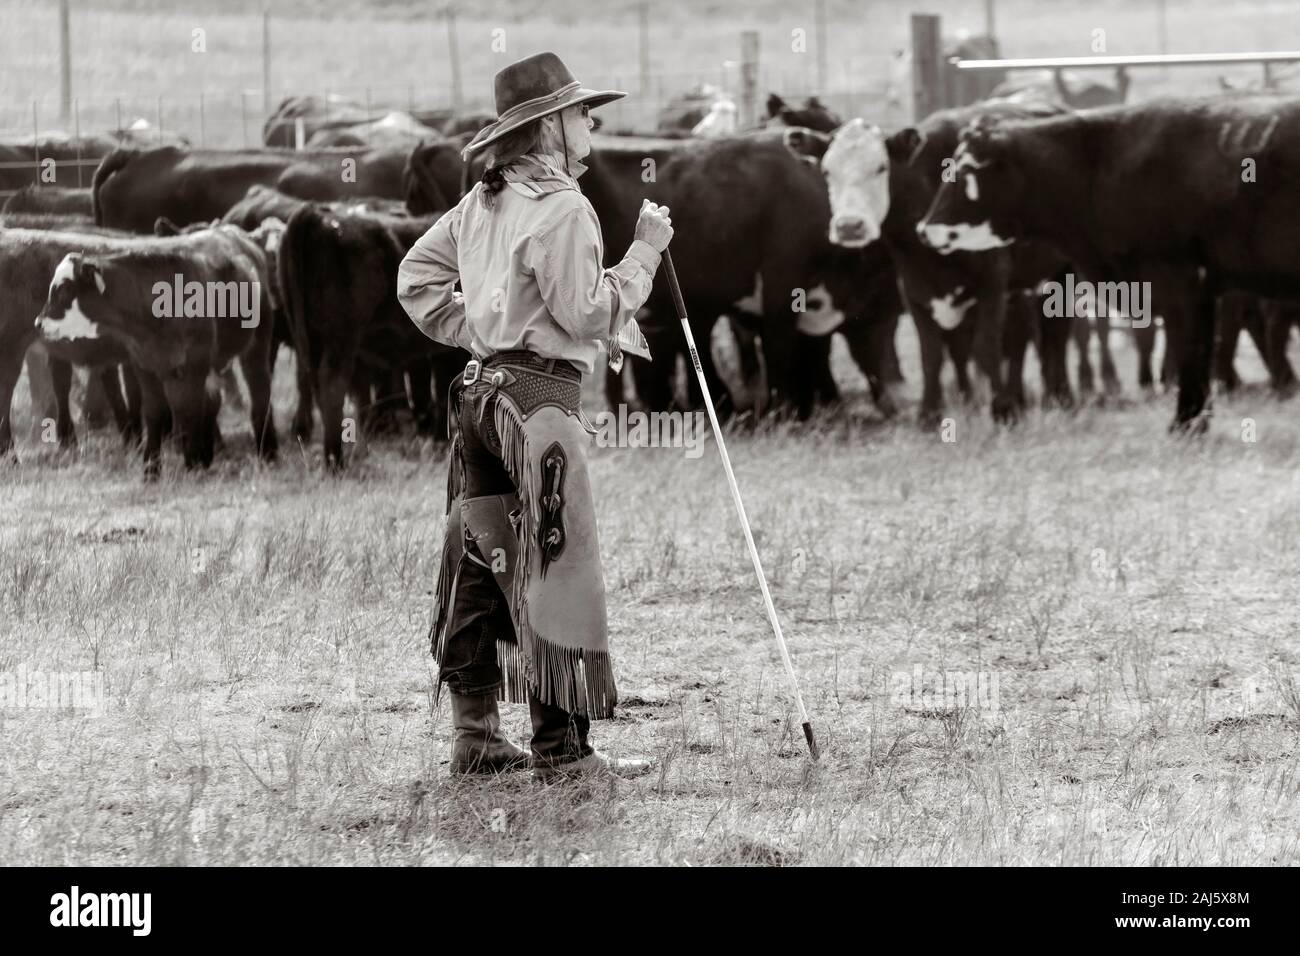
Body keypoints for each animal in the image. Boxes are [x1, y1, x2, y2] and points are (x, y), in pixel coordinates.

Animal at [920, 94, 1300, 429]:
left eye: (967, 170)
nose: (926, 229)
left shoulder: (1180, 281)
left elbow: (1190, 353)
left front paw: (1184, 426)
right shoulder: (1202, 290)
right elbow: (1199, 353)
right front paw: (1194, 424)